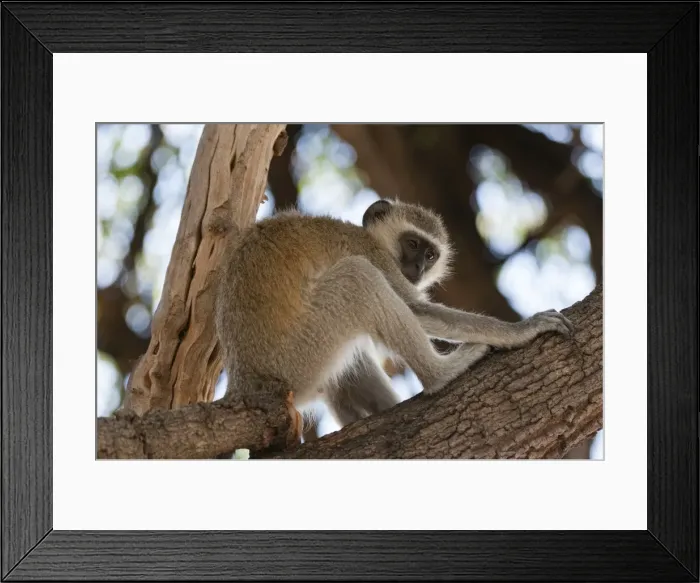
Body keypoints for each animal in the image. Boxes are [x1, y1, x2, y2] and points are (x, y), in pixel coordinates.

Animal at [214, 198, 574, 448]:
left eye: (430, 255)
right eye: (412, 243)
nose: (416, 267)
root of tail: (244, 383)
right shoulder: (373, 254)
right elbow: (416, 309)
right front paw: (521, 330)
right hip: (297, 359)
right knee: (358, 279)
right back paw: (440, 374)